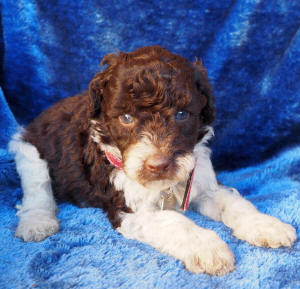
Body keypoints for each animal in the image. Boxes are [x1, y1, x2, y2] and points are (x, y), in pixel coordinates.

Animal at [8, 45, 296, 274]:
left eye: (181, 114)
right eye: (126, 118)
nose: (158, 165)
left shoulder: (203, 182)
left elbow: (233, 202)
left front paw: (266, 226)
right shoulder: (129, 207)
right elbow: (175, 222)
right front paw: (209, 249)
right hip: (29, 151)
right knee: (36, 191)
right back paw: (37, 223)